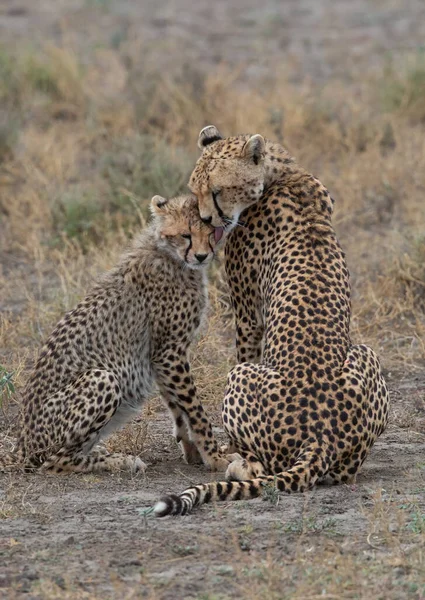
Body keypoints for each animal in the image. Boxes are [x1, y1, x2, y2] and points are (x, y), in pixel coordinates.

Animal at [0, 195, 229, 476]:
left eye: (211, 233)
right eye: (186, 235)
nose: (201, 255)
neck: (169, 254)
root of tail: (22, 445)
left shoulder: (160, 356)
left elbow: (178, 407)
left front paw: (193, 451)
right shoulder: (169, 351)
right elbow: (195, 409)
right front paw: (216, 457)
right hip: (102, 377)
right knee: (54, 462)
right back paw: (120, 460)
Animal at [154, 126, 390, 516]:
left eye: (217, 190)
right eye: (195, 189)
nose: (206, 220)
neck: (281, 175)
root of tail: (320, 437)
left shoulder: (248, 314)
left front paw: (224, 450)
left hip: (241, 377)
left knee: (261, 466)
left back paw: (238, 464)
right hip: (366, 354)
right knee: (345, 472)